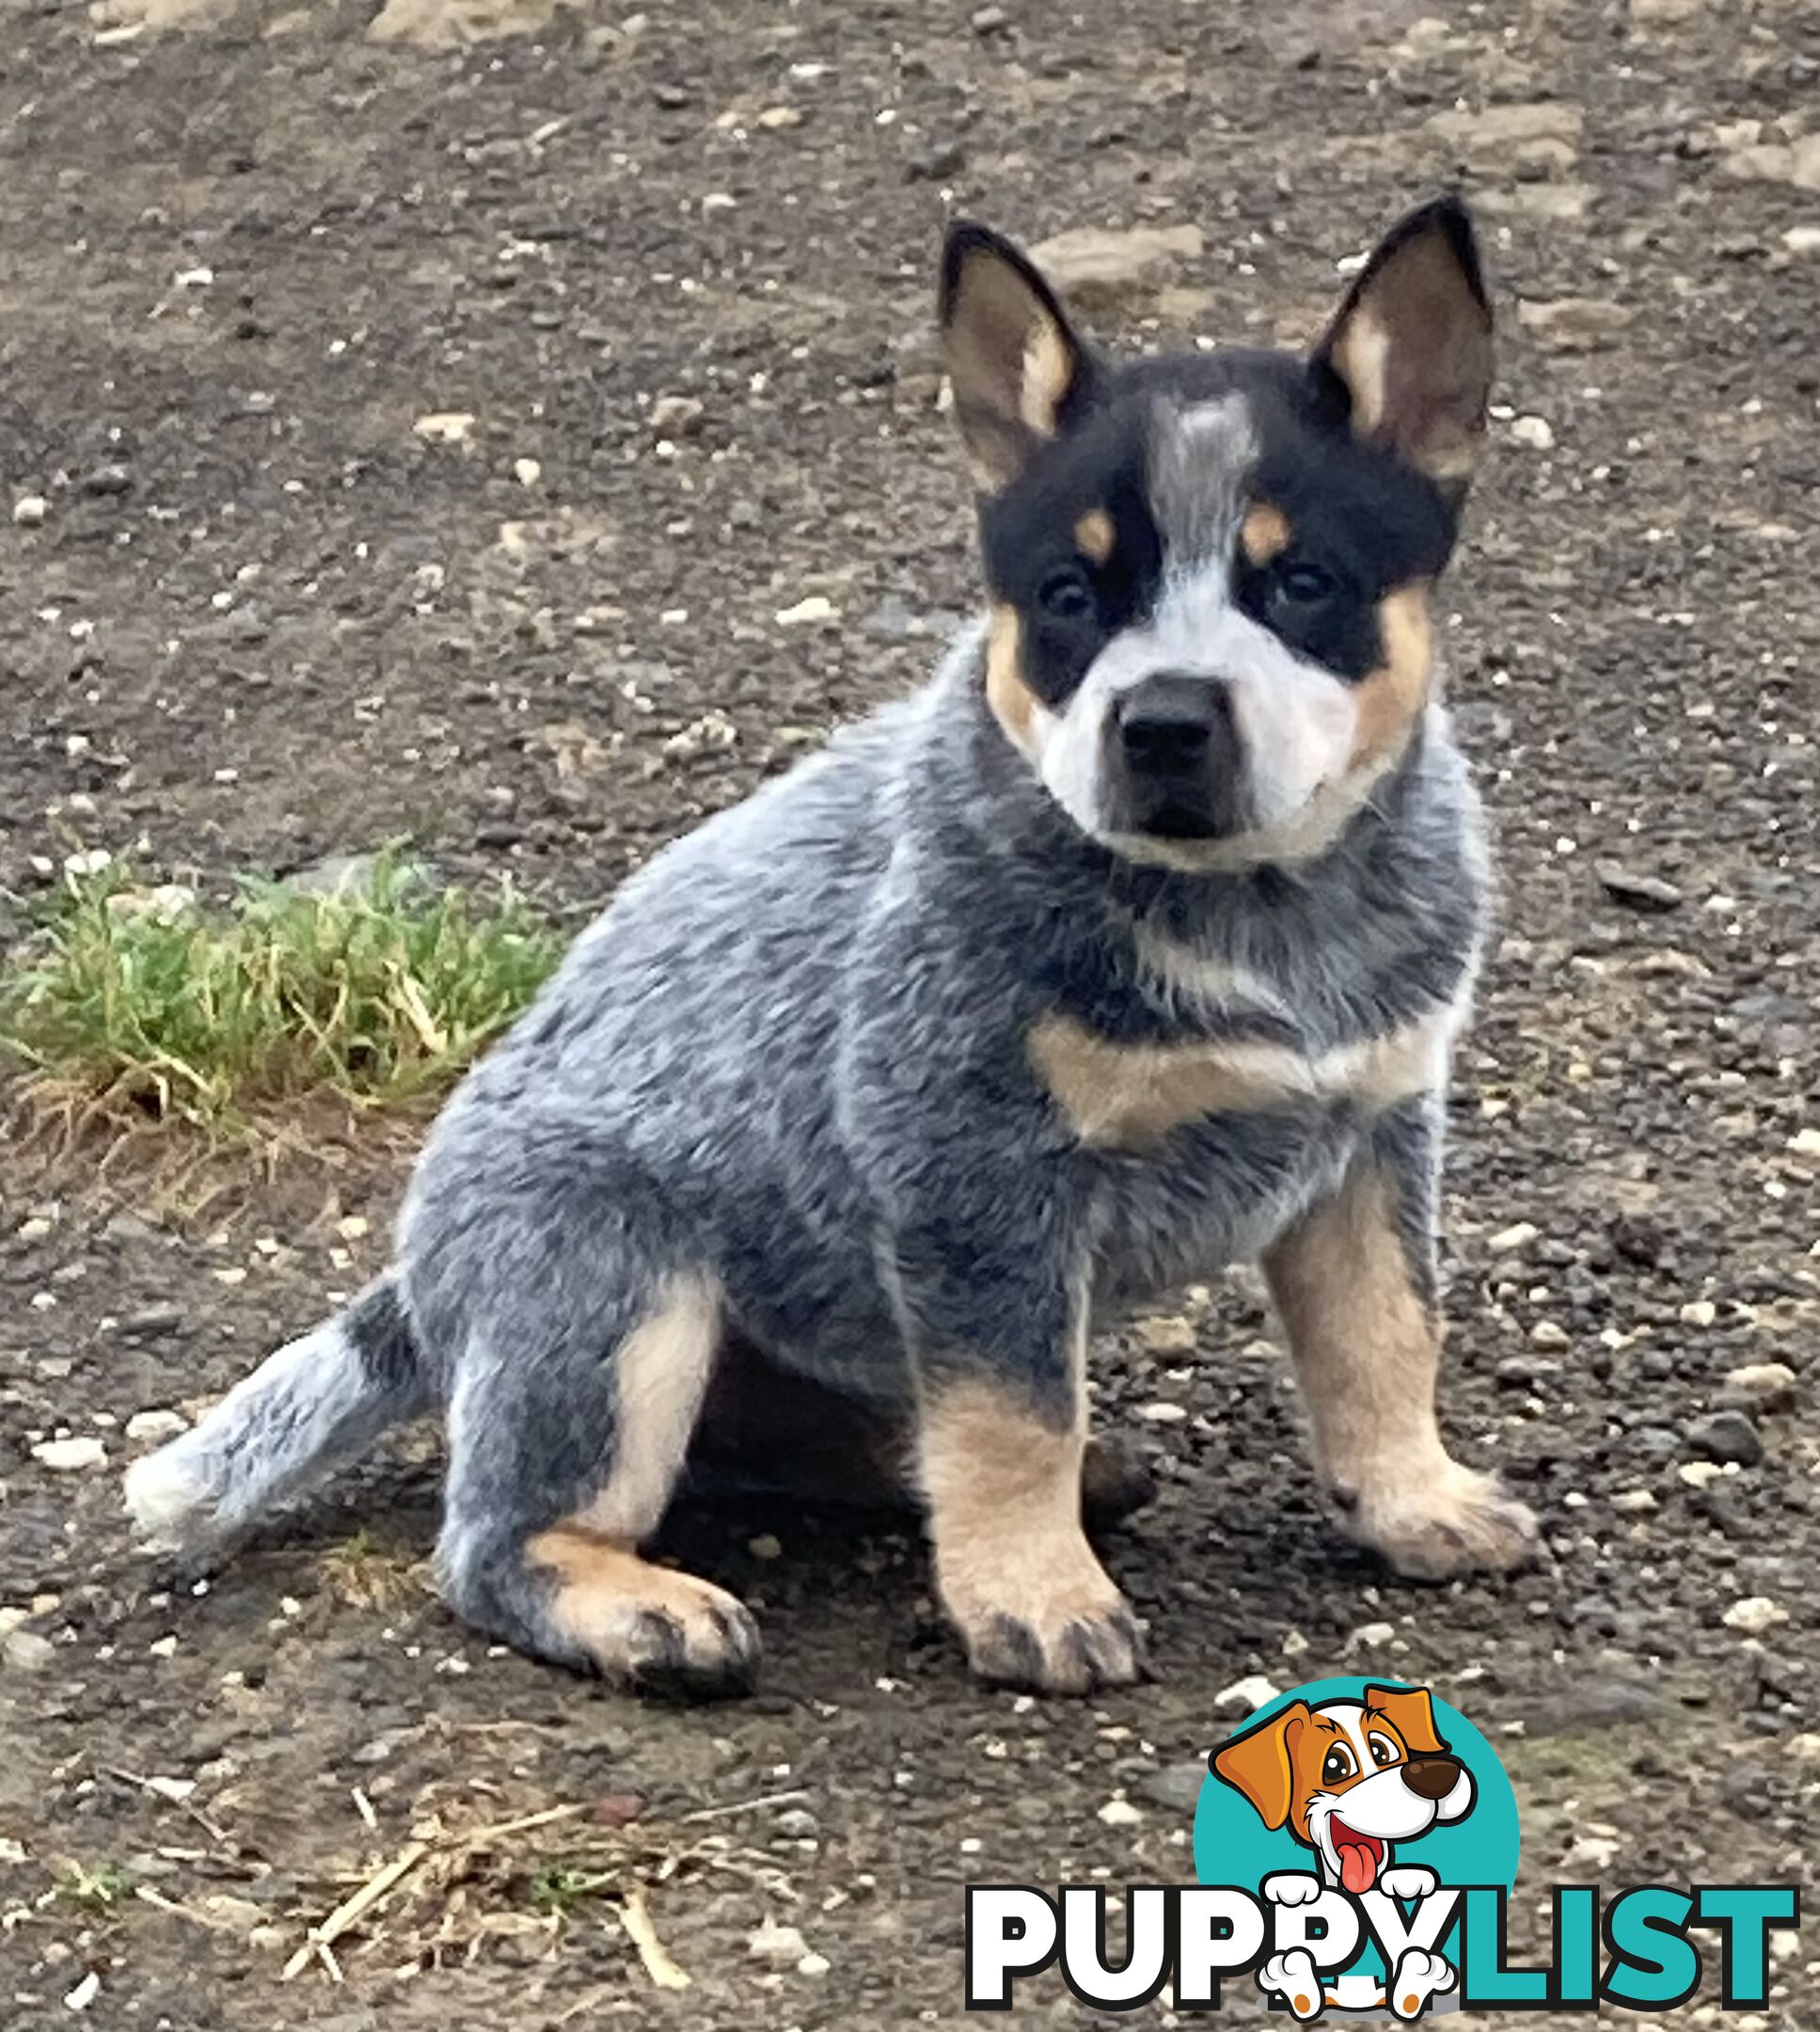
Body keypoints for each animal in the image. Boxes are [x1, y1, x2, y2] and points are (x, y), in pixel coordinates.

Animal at [128, 198, 1543, 1691]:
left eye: (1303, 583)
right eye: (1065, 595)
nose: (1160, 723)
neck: (1255, 915)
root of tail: (423, 1279)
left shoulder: (1370, 1131)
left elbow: (1386, 1335)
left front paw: (1415, 1502)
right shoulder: (967, 1166)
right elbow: (1010, 1411)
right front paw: (1033, 1598)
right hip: (613, 1281)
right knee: (497, 1541)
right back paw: (643, 1607)